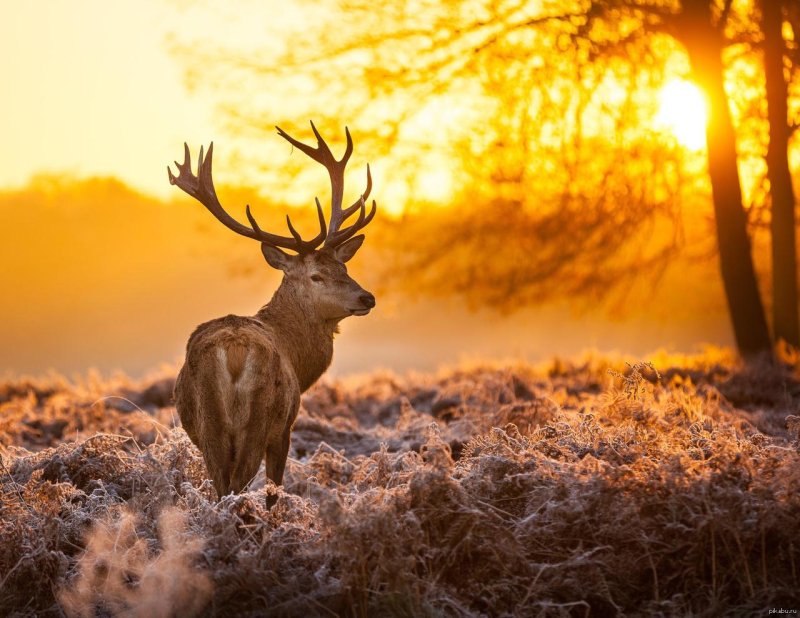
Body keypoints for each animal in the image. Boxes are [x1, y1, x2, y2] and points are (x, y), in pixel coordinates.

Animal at [166, 121, 378, 506]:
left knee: (221, 487)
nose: (367, 297)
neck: (298, 357)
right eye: (316, 275)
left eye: (344, 267)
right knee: (238, 485)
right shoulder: (285, 428)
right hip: (260, 419)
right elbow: (274, 489)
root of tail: (234, 350)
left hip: (209, 426)